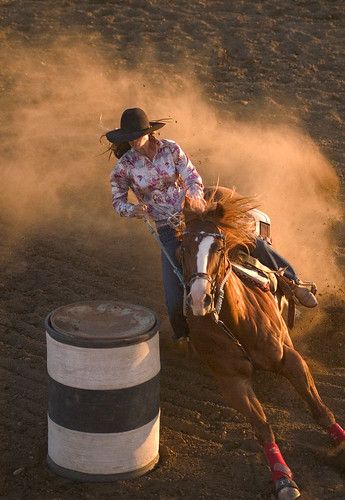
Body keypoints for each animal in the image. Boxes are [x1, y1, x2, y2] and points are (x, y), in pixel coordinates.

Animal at [181, 187, 342, 500]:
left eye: (218, 248)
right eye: (182, 247)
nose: (199, 299)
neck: (236, 321)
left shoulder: (290, 359)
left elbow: (318, 408)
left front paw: (340, 440)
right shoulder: (233, 382)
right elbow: (263, 427)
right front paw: (283, 478)